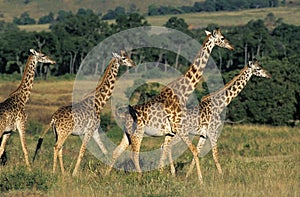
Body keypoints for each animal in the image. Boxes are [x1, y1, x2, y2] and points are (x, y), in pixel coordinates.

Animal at [106, 28, 236, 184]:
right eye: (222, 38)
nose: (231, 47)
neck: (183, 92)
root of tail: (123, 115)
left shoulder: (170, 132)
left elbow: (166, 151)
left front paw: (164, 175)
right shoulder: (179, 128)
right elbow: (192, 150)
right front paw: (200, 180)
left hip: (127, 134)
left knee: (117, 151)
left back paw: (105, 175)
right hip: (138, 132)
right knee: (134, 154)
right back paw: (140, 177)